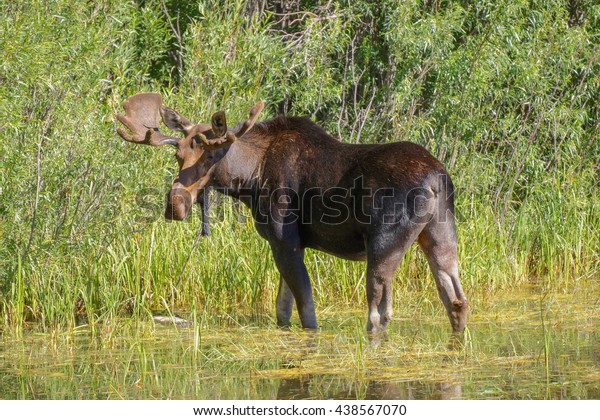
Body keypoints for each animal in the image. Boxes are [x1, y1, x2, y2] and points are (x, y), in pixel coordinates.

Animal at [115, 93, 466, 334]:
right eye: (178, 154)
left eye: (211, 155)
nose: (175, 204)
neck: (249, 179)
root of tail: (436, 179)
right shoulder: (283, 243)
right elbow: (282, 310)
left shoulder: (285, 239)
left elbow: (306, 312)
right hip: (441, 236)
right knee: (457, 300)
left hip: (383, 246)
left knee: (379, 315)